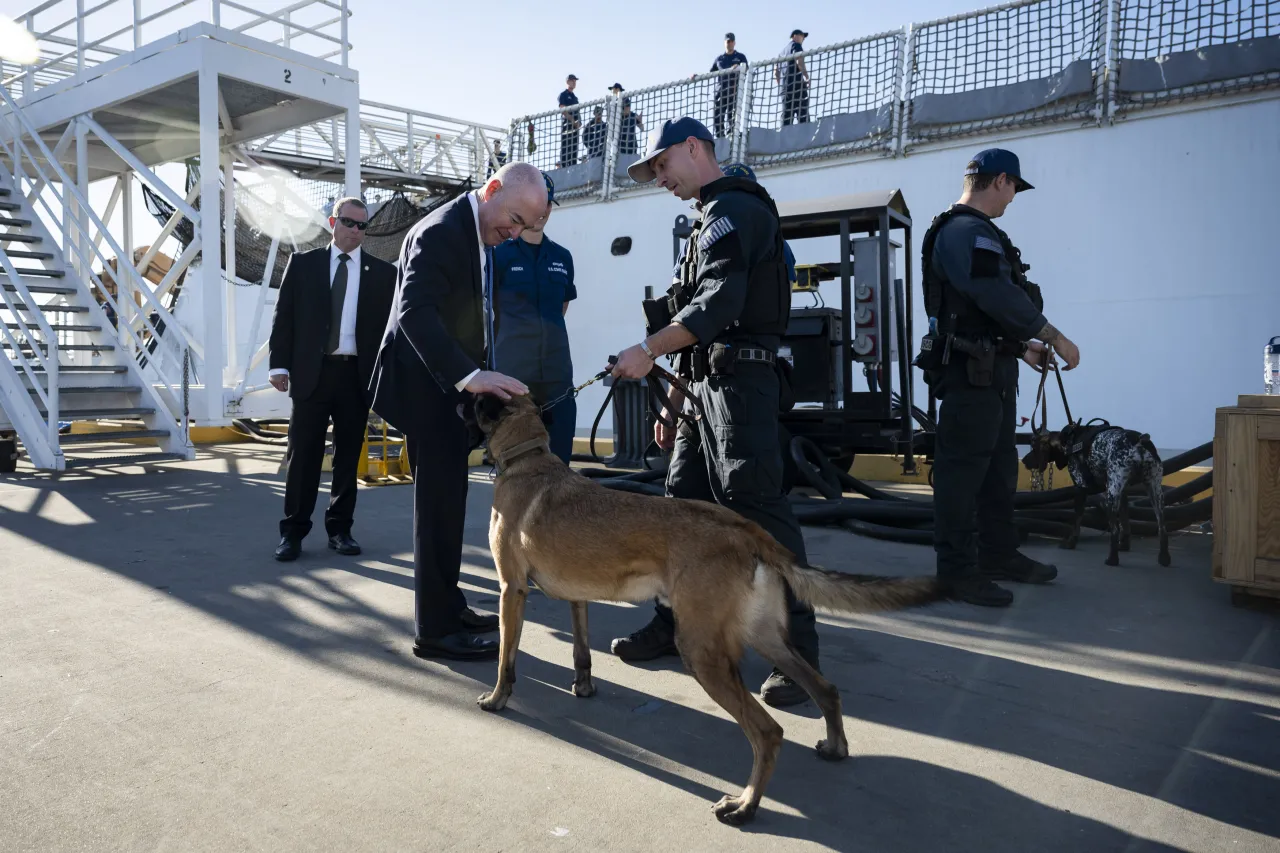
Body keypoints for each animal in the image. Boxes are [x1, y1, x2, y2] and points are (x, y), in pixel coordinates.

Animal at [471, 394, 942, 819]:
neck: (527, 459)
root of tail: (747, 530)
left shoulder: (511, 591)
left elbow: (506, 660)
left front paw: (497, 699)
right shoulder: (577, 598)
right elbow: (581, 653)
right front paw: (583, 687)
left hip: (701, 653)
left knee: (768, 733)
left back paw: (745, 805)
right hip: (764, 638)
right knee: (824, 689)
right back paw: (834, 747)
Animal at [1029, 417, 1172, 563]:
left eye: (1034, 448)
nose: (1024, 461)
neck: (1069, 441)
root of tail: (1139, 441)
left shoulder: (1080, 488)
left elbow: (1077, 519)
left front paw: (1071, 542)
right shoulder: (1123, 492)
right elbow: (1125, 520)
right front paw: (1125, 545)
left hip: (1111, 494)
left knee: (1114, 530)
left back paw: (1112, 559)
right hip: (1154, 490)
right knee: (1162, 528)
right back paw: (1164, 558)